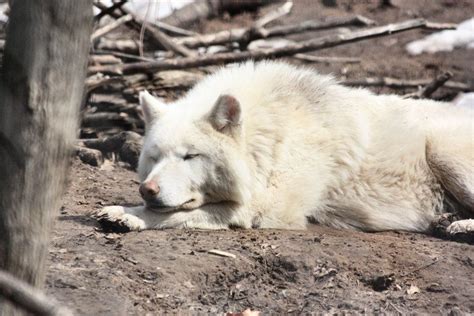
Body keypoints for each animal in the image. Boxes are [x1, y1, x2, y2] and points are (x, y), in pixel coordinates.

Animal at [96, 61, 474, 235]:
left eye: (190, 156)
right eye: (154, 157)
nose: (148, 190)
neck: (268, 134)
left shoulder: (270, 208)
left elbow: (177, 213)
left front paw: (129, 214)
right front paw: (124, 209)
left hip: (443, 151)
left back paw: (458, 226)